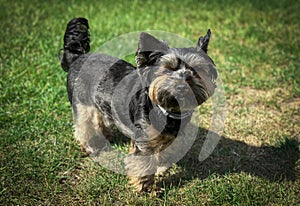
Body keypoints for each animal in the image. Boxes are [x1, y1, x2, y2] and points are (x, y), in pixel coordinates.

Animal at [59, 16, 217, 192]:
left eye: (196, 70)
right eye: (168, 70)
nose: (182, 85)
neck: (165, 109)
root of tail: (77, 58)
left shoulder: (168, 138)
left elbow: (164, 153)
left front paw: (161, 169)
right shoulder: (144, 140)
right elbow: (144, 164)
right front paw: (147, 188)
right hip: (82, 104)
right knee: (83, 127)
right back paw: (90, 147)